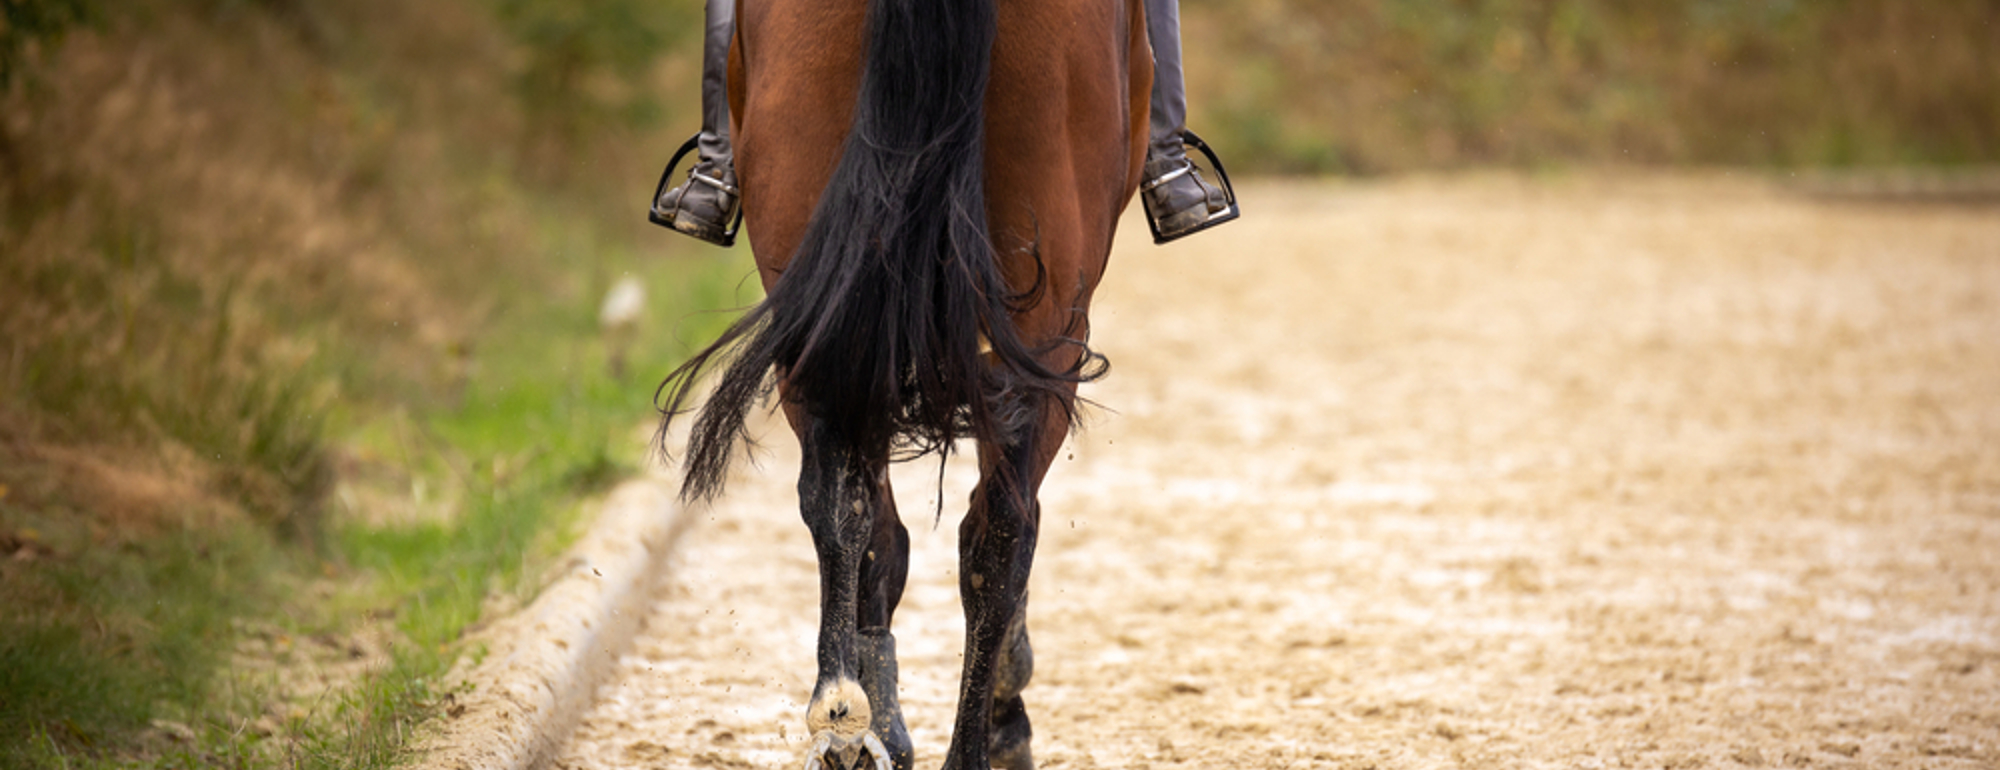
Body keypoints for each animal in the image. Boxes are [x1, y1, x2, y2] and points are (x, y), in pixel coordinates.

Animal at [664, 0, 1152, 764]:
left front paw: (880, 721)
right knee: (1000, 530)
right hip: (1047, 321)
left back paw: (844, 719)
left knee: (845, 504)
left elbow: (875, 533)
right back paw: (973, 741)